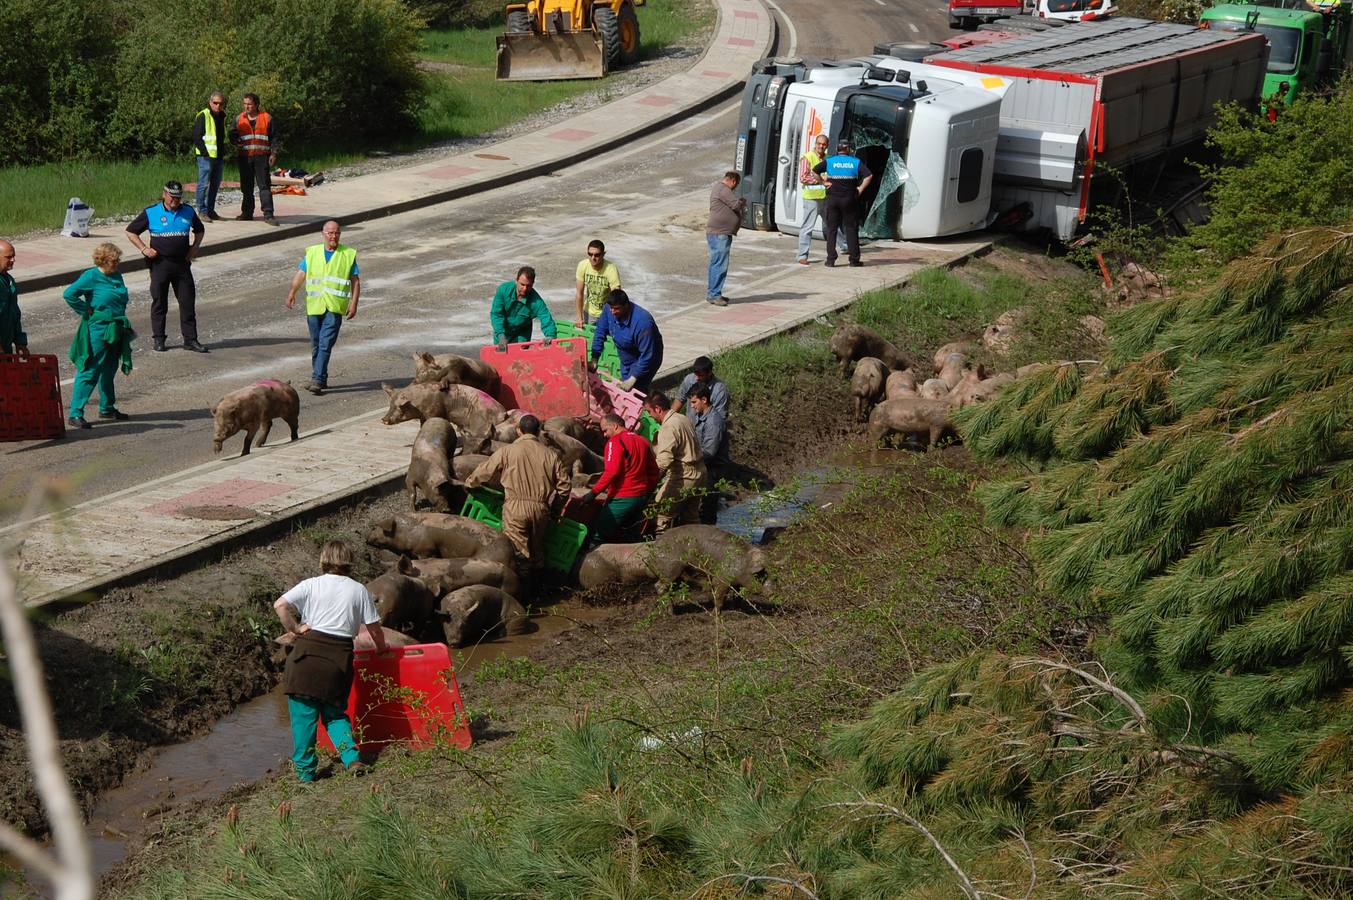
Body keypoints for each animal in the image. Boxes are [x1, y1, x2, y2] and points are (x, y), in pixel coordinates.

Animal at [579, 522, 773, 606]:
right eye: (760, 575)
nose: (773, 593)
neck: (744, 563)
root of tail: (654, 548)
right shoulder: (722, 577)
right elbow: (719, 594)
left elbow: (738, 594)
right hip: (670, 568)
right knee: (659, 586)